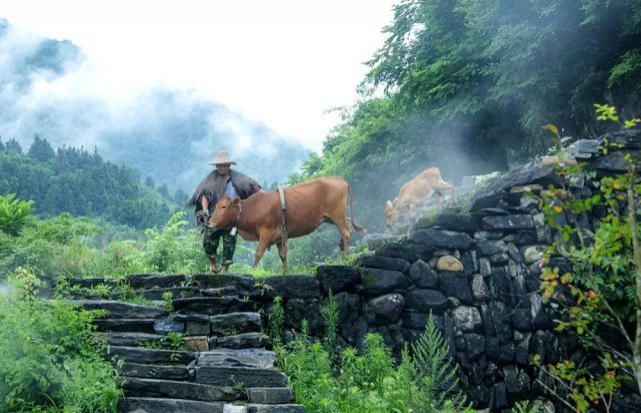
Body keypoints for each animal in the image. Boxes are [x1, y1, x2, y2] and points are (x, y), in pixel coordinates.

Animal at [206, 175, 362, 272]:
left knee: (346, 232)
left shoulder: (266, 232)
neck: (253, 208)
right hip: (331, 217)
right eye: (216, 206)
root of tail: (339, 179)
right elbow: (283, 255)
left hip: (336, 214)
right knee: (348, 225)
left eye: (224, 207)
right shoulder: (278, 236)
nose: (210, 222)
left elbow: (258, 253)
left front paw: (252, 271)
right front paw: (285, 272)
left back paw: (345, 259)